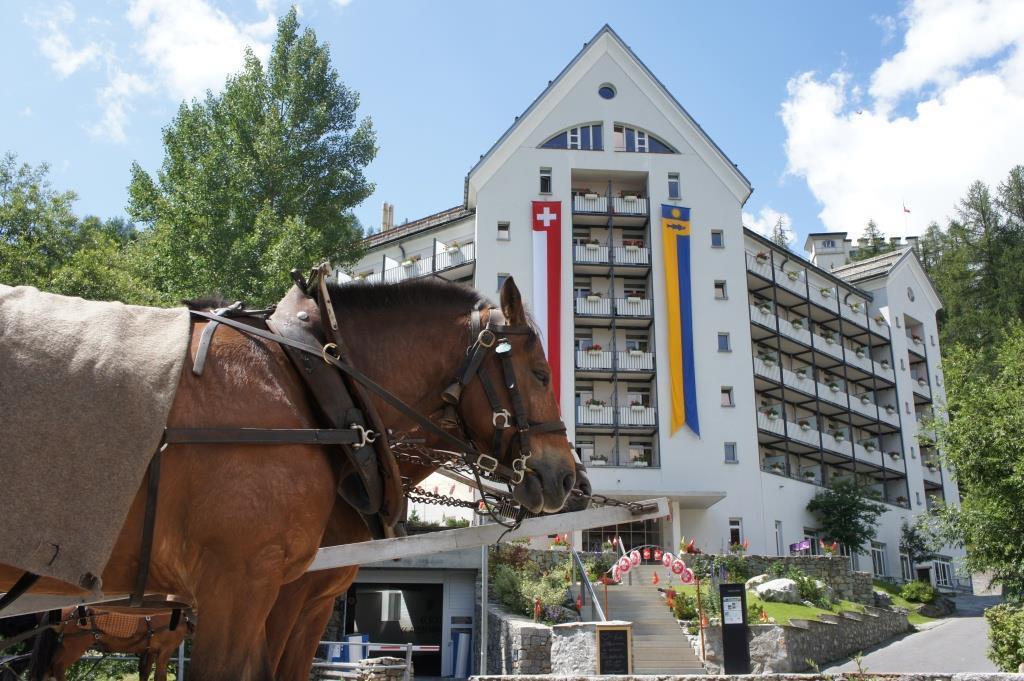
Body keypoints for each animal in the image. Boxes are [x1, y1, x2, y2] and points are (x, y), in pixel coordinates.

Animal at [29, 606, 190, 679]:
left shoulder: (150, 651)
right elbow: (160, 677)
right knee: (57, 667)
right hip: (74, 648)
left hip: (62, 646)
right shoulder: (165, 651)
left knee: (47, 670)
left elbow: (144, 674)